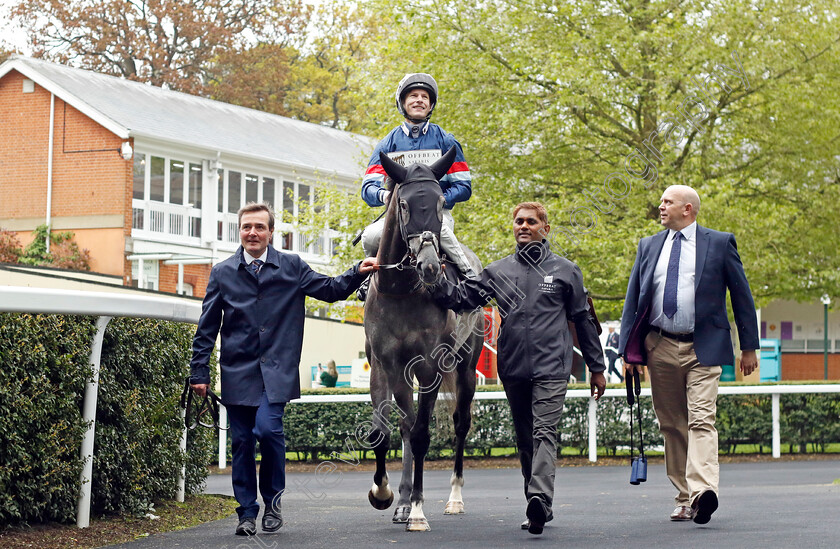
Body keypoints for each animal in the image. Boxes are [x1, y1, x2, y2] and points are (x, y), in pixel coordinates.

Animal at [362, 147, 486, 532]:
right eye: (402, 204)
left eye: (440, 201)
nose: (430, 266)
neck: (401, 291)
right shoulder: (385, 363)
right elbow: (386, 430)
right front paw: (385, 494)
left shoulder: (431, 366)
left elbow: (420, 435)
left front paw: (417, 511)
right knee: (405, 425)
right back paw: (401, 501)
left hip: (466, 366)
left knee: (461, 423)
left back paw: (454, 498)